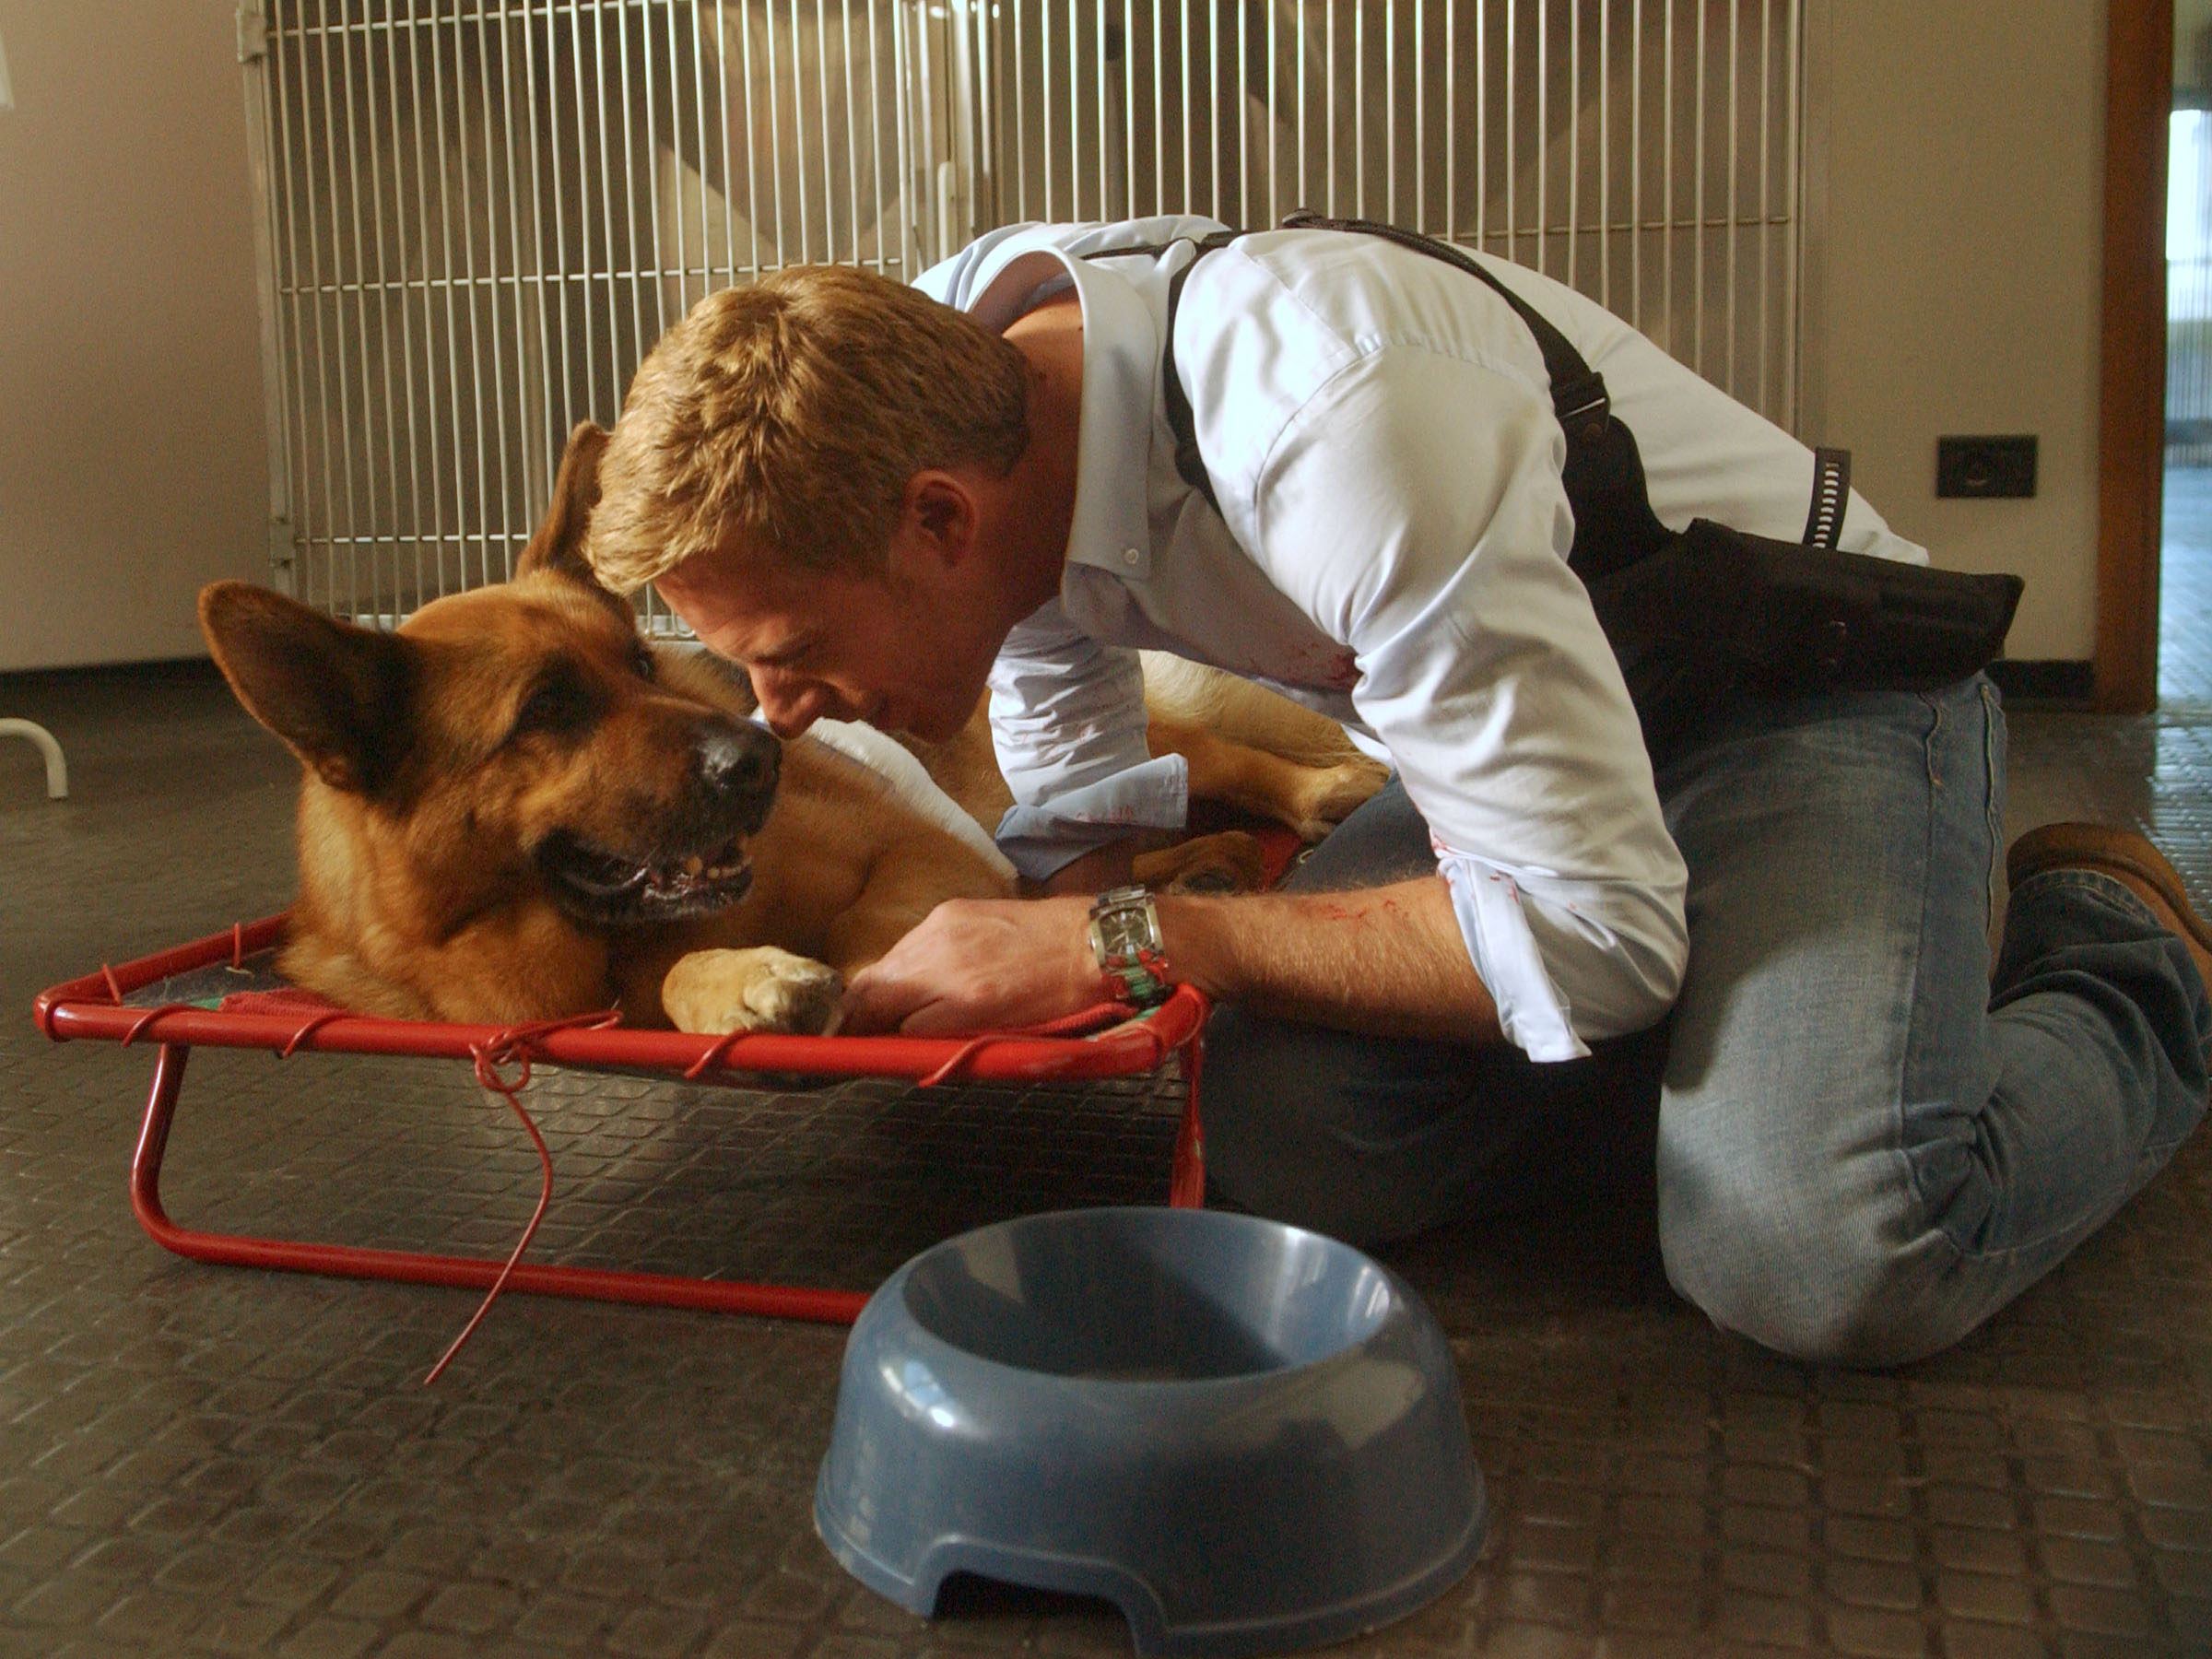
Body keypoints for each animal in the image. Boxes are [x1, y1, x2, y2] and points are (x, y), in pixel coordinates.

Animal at [200, 425, 1386, 1035]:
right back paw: (1205, 866)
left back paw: (1323, 797)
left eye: (641, 662)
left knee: (1219, 765)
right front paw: (736, 983)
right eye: (547, 710)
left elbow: (880, 933)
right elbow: (671, 983)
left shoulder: (919, 848)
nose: (762, 749)